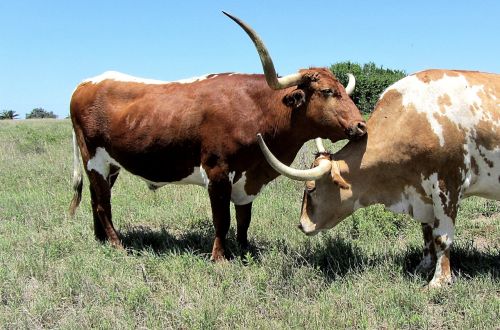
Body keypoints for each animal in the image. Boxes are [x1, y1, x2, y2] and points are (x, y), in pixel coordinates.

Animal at [68, 12, 368, 260]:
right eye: (327, 91)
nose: (361, 126)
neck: (257, 109)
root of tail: (84, 84)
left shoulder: (248, 178)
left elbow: (244, 218)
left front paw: (246, 250)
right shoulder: (217, 172)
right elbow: (221, 219)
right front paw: (220, 258)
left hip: (111, 164)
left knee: (96, 199)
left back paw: (101, 240)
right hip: (93, 159)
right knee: (102, 203)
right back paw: (117, 244)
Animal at [260, 69, 498, 286]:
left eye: (311, 188)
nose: (302, 225)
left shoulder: (447, 185)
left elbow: (442, 237)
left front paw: (439, 280)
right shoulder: (422, 193)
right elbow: (427, 233)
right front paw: (423, 266)